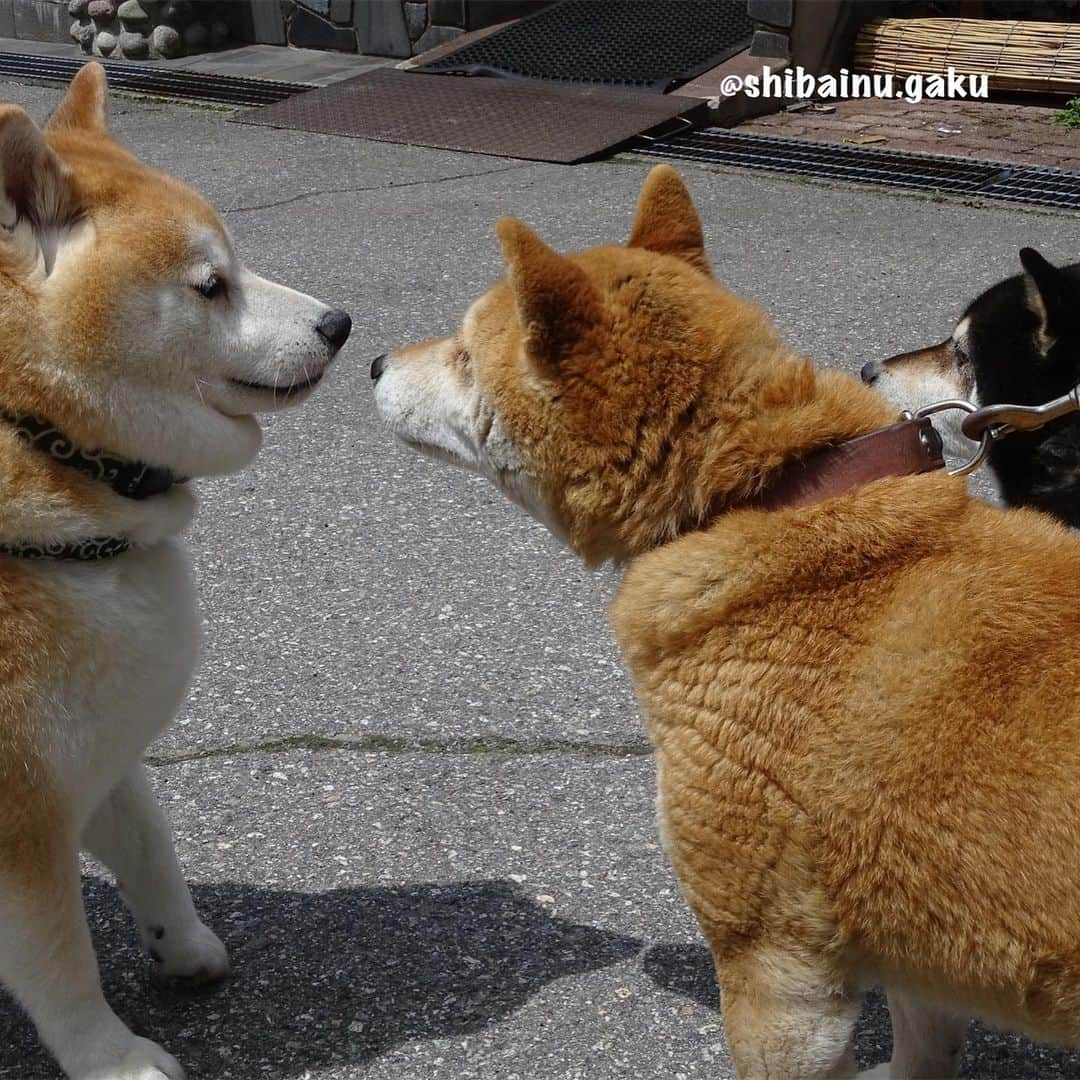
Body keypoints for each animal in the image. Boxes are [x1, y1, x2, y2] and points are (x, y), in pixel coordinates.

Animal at [0, 69, 349, 1080]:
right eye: (210, 284)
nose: (340, 323)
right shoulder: (20, 816)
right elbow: (60, 956)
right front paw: (110, 1057)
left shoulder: (98, 732)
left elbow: (152, 848)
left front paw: (180, 944)